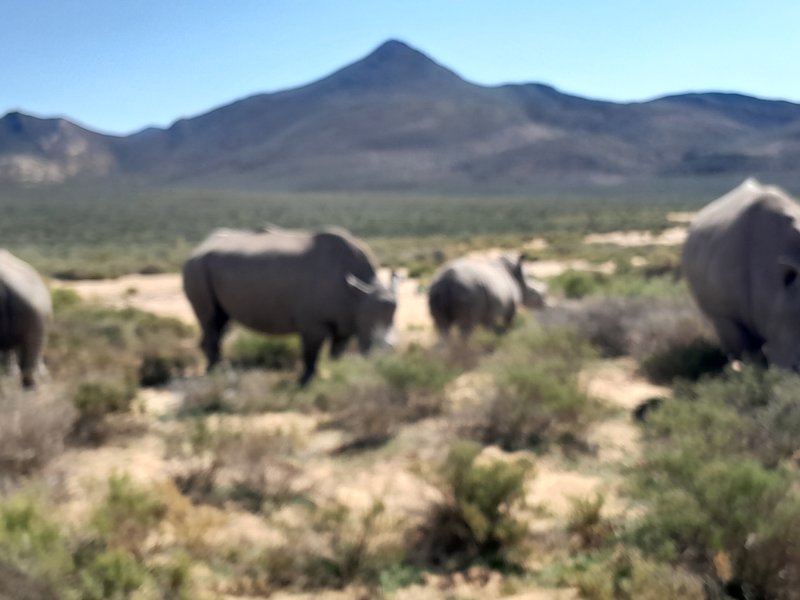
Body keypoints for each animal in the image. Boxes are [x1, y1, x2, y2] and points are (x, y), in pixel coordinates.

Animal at [183, 226, 397, 384]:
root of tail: (198, 248)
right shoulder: (313, 323)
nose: (386, 356)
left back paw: (217, 368)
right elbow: (311, 352)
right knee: (210, 320)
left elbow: (337, 351)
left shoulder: (346, 320)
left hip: (207, 267)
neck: (359, 294)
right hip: (197, 266)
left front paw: (338, 372)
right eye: (372, 333)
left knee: (220, 321)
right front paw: (305, 381)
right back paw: (215, 372)